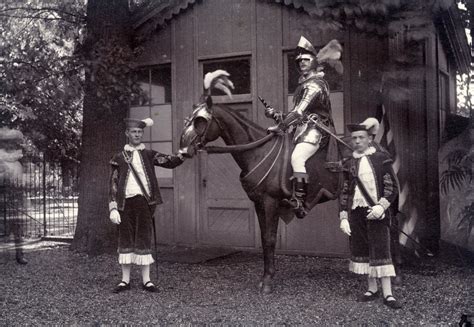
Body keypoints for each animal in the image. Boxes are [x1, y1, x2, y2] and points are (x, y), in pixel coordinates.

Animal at [179, 72, 344, 294]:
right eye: (189, 119)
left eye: (200, 121)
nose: (182, 150)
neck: (258, 151)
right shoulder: (259, 203)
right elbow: (265, 239)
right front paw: (266, 276)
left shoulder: (270, 202)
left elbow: (270, 238)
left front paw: (267, 282)